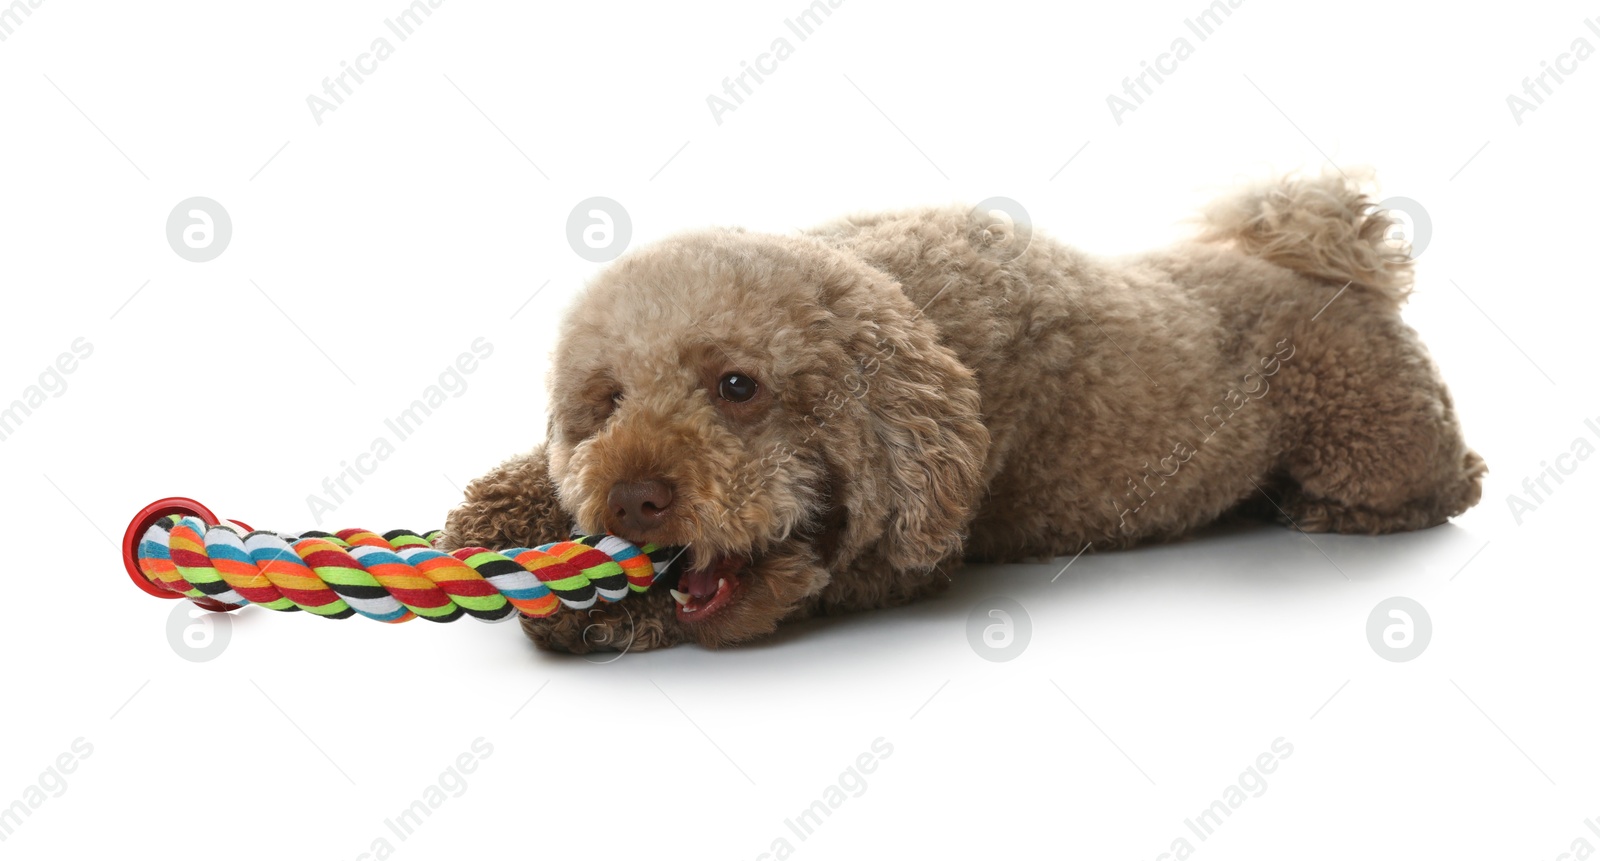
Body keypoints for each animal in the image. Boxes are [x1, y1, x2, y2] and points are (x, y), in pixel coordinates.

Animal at [438, 172, 1484, 649]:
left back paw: (1336, 509)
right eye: (605, 403)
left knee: (1454, 480)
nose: (634, 499)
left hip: (1370, 434)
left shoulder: (905, 559)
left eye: (739, 386)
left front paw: (597, 614)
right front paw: (494, 520)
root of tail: (1328, 260)